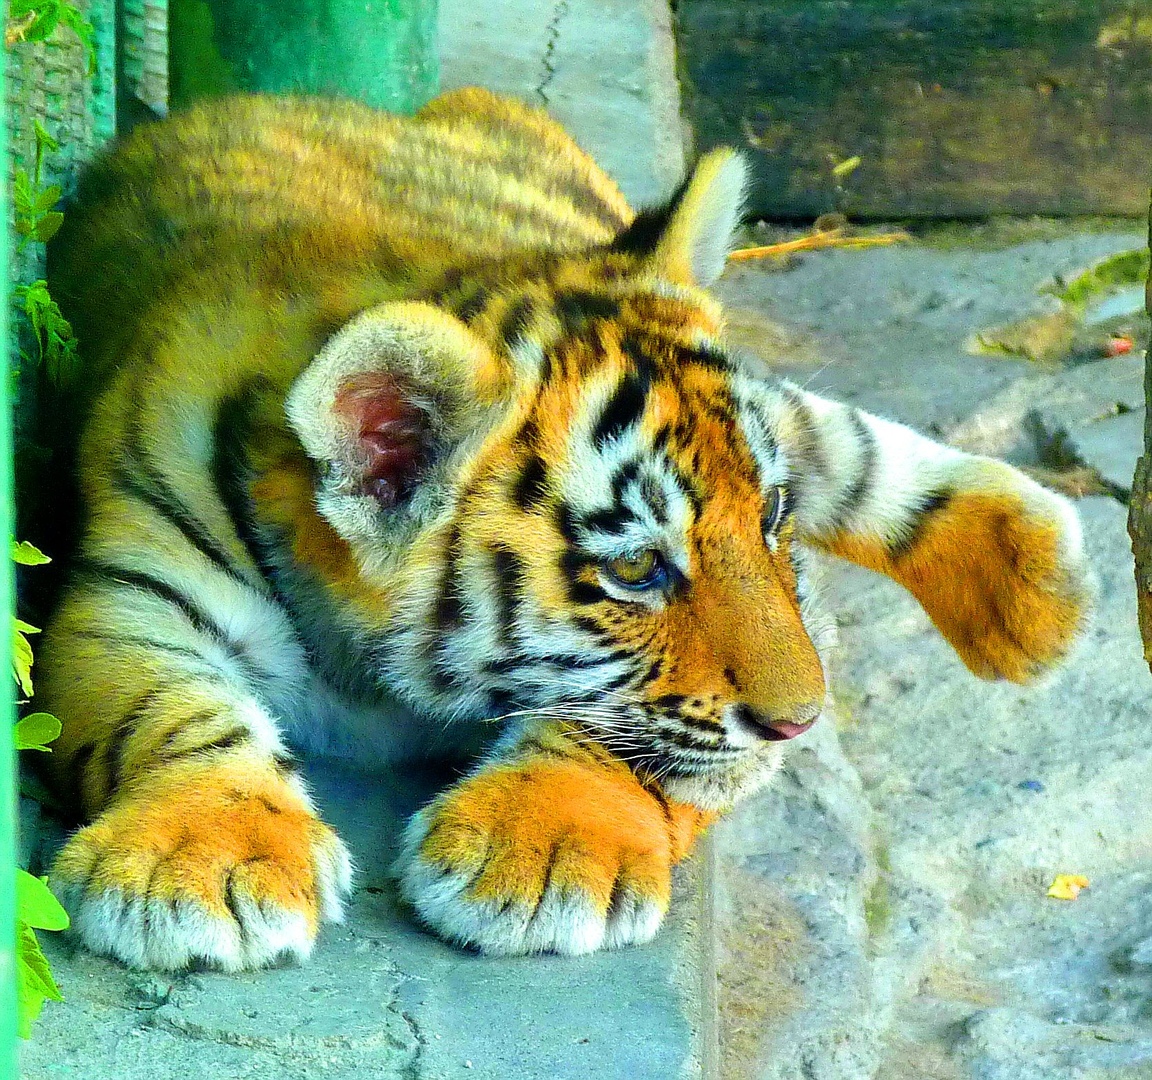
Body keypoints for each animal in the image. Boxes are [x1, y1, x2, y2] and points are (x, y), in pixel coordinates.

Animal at [36, 87, 1090, 971]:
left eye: (773, 519)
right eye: (638, 570)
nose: (801, 723)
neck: (369, 678)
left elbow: (628, 735)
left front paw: (540, 848)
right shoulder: (127, 585)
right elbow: (164, 709)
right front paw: (200, 858)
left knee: (825, 426)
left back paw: (1037, 585)